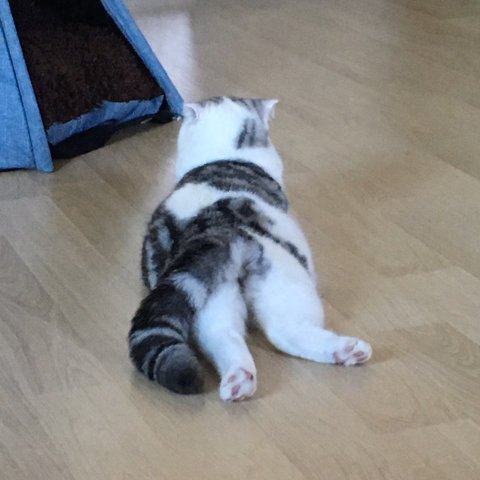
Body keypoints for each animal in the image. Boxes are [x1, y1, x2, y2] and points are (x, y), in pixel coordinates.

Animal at [128, 96, 372, 402]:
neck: (224, 155)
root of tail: (210, 234)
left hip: (212, 301)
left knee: (224, 336)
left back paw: (238, 380)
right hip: (283, 281)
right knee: (284, 331)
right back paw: (348, 351)